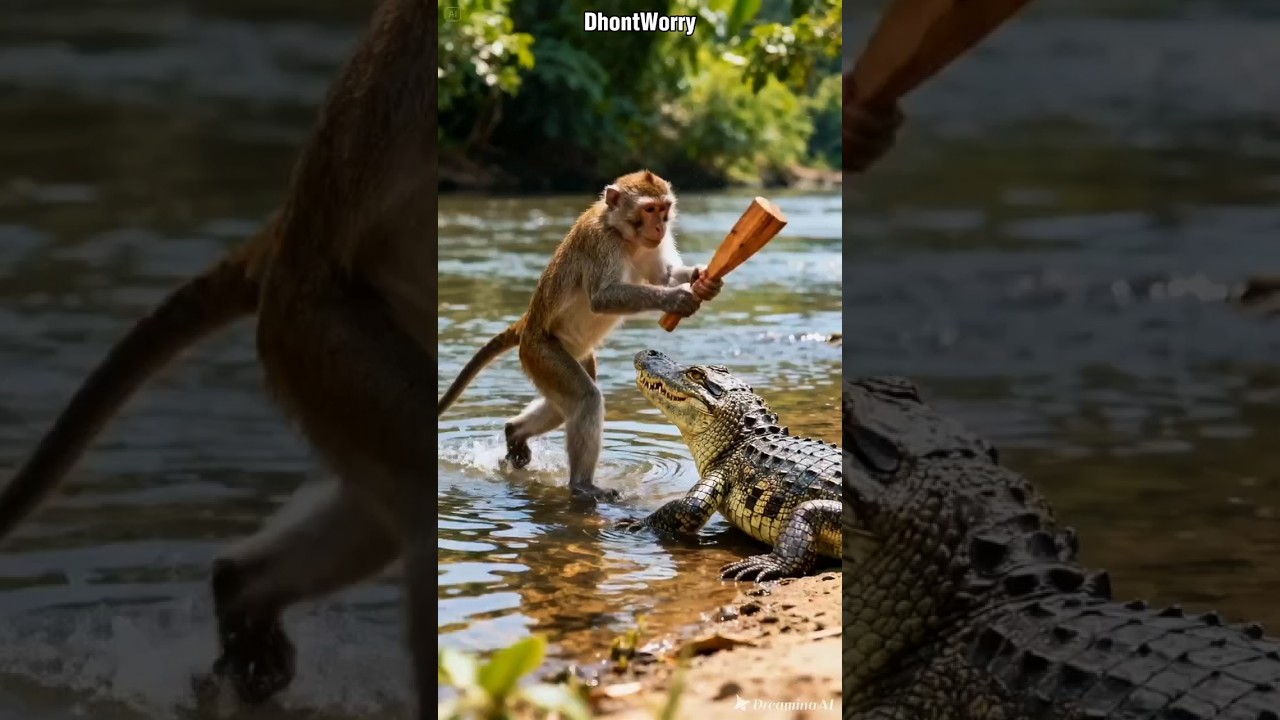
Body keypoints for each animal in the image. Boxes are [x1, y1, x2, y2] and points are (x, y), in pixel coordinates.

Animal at [437, 170, 724, 502]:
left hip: (572, 353)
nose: (659, 226)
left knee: (565, 402)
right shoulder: (600, 242)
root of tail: (528, 323)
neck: (622, 233)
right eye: (649, 209)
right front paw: (676, 298)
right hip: (541, 352)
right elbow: (603, 298)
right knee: (585, 398)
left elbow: (664, 275)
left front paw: (700, 278)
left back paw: (514, 432)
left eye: (664, 208)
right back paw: (582, 484)